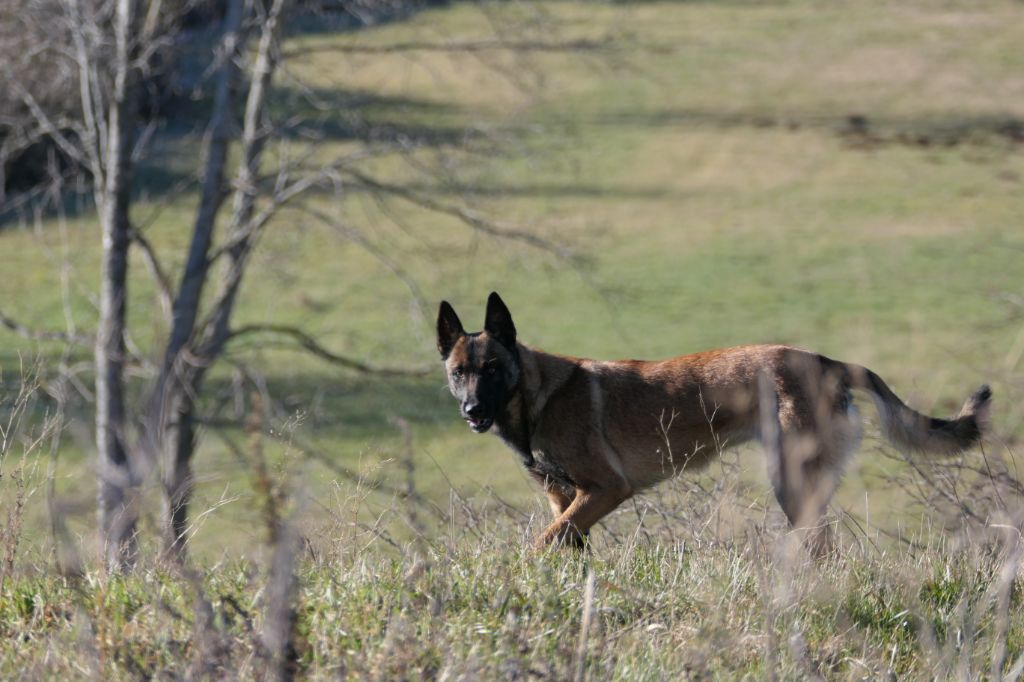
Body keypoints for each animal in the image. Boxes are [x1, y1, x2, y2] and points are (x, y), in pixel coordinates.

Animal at [434, 288, 991, 548]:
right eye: (460, 373)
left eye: (492, 369)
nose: (472, 411)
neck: (537, 396)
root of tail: (829, 362)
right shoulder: (567, 501)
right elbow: (565, 543)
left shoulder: (606, 490)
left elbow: (541, 544)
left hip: (791, 483)